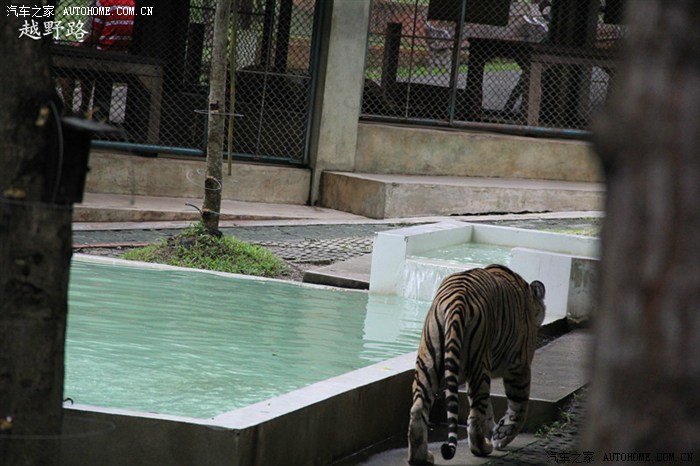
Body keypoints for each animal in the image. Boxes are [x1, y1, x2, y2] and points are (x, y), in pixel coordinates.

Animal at [407, 264, 546, 465]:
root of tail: (457, 301)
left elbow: (489, 410)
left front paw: (495, 430)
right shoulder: (519, 366)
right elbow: (519, 408)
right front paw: (501, 436)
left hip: (428, 362)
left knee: (418, 410)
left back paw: (421, 457)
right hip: (479, 366)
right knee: (474, 416)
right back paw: (482, 448)